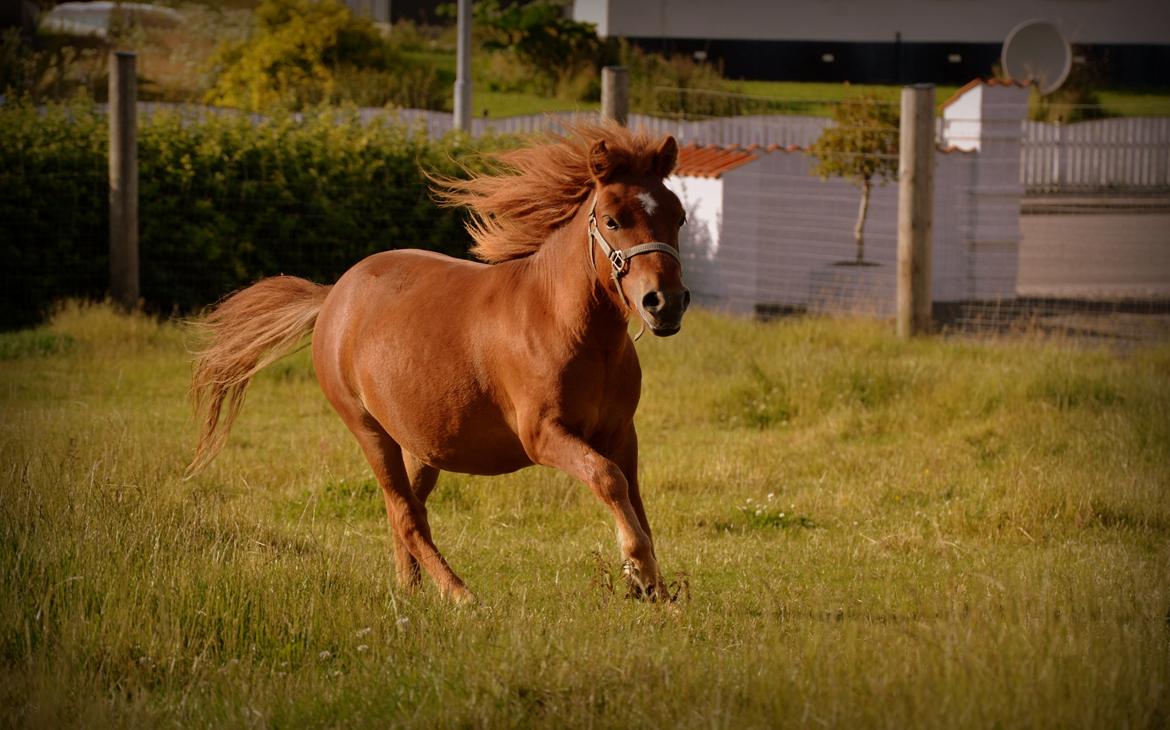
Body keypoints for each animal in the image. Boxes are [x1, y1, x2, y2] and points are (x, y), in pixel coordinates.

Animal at [187, 124, 687, 598]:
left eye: (678, 216)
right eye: (612, 220)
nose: (665, 303)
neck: (564, 325)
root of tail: (332, 297)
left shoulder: (620, 434)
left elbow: (635, 499)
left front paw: (657, 590)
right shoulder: (543, 435)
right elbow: (608, 480)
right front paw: (640, 571)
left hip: (419, 444)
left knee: (408, 510)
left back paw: (411, 591)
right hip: (369, 431)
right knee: (406, 515)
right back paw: (460, 594)